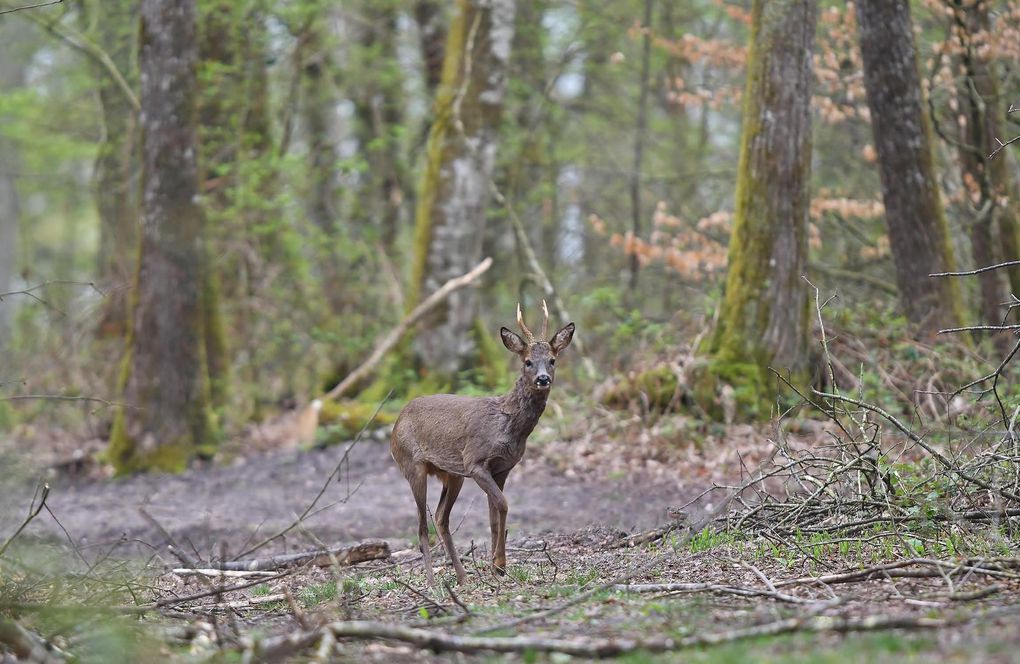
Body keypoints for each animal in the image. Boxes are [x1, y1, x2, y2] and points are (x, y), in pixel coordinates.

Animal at [389, 303, 575, 583]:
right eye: (528, 361)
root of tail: (396, 422)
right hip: (413, 465)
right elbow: (504, 504)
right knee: (422, 526)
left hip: (452, 474)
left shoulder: (502, 468)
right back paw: (432, 582)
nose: (543, 378)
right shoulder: (475, 462)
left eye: (552, 360)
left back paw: (463, 577)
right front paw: (499, 563)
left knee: (441, 517)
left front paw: (497, 567)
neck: (507, 427)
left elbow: (494, 517)